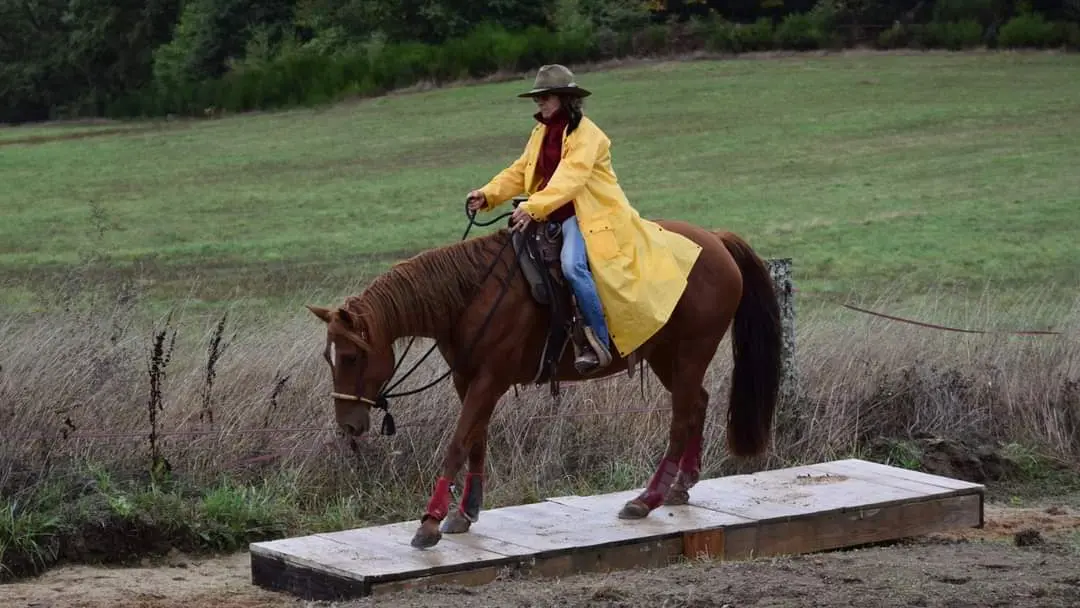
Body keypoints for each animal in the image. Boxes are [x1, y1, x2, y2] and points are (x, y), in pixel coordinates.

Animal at [308, 220, 781, 552]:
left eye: (351, 356)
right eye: (329, 358)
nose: (348, 425)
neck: (471, 295)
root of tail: (715, 241)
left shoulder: (490, 380)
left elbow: (458, 441)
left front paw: (430, 523)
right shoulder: (468, 380)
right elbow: (476, 439)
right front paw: (465, 513)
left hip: (689, 353)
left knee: (681, 418)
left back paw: (646, 499)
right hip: (668, 357)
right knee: (697, 403)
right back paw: (681, 486)